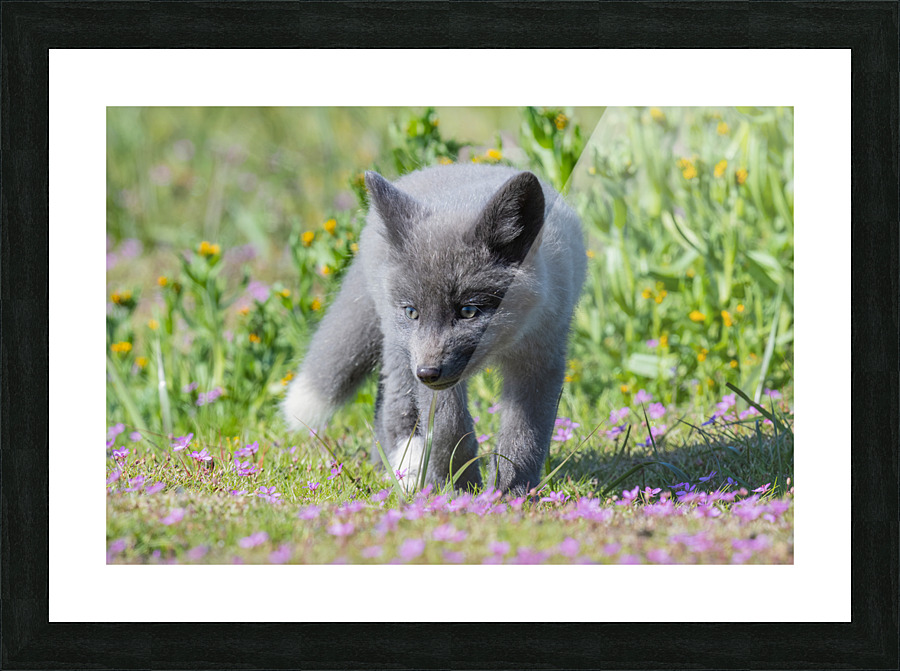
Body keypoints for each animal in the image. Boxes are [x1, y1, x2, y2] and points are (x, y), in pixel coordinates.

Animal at [282, 163, 586, 496]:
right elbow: (449, 426)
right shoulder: (429, 371)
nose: (427, 373)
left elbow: (524, 436)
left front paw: (511, 494)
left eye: (468, 311)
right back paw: (407, 472)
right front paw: (460, 488)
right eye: (412, 312)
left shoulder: (540, 358)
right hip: (400, 349)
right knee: (394, 407)